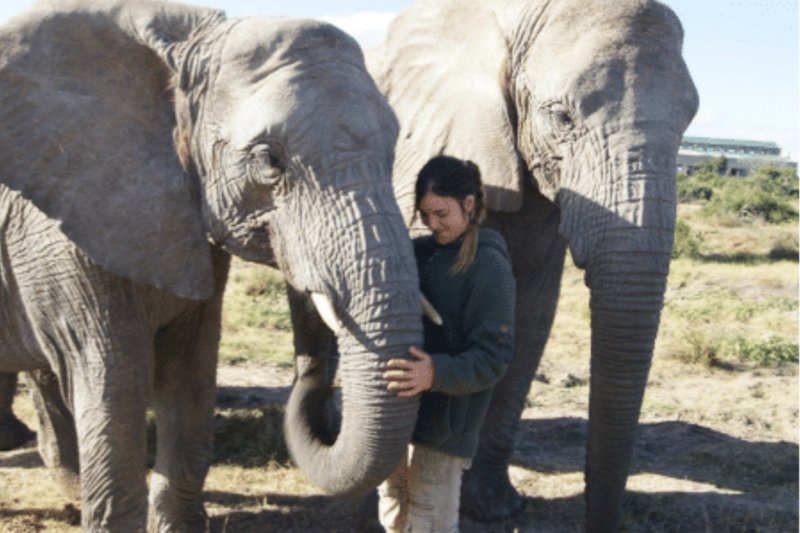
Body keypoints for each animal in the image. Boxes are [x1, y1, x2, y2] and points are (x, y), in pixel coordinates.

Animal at [0, 0, 424, 530]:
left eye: (395, 149)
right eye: (269, 161)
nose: (312, 380)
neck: (184, 43)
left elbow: (191, 373)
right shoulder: (62, 222)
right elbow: (116, 380)